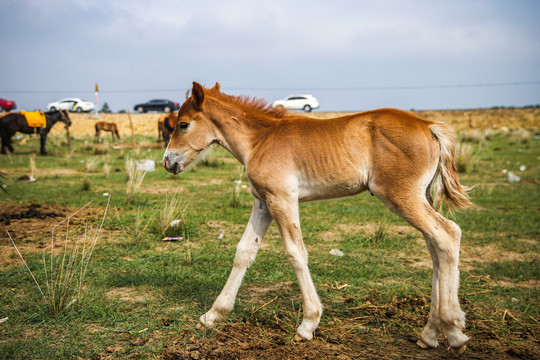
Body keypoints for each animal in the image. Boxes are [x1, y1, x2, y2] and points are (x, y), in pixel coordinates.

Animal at [161, 81, 472, 354]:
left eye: (183, 124)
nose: (168, 162)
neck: (260, 140)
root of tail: (429, 126)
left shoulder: (282, 199)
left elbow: (295, 252)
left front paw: (308, 324)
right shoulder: (263, 202)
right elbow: (244, 251)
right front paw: (213, 314)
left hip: (400, 196)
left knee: (448, 234)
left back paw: (454, 330)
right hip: (421, 197)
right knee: (436, 245)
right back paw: (430, 334)